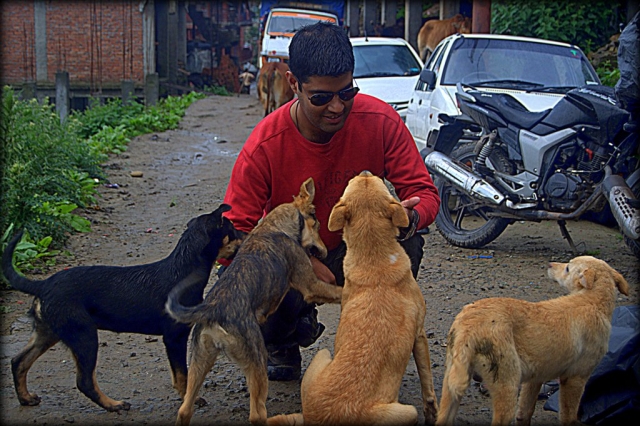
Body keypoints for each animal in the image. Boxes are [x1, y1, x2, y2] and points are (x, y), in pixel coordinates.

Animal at [1, 205, 242, 412]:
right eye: (232, 230)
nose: (245, 234)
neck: (184, 269)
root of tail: (42, 285)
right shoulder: (174, 337)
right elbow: (182, 375)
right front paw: (190, 400)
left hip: (49, 331)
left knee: (18, 362)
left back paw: (26, 398)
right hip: (83, 335)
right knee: (84, 381)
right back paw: (113, 404)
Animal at [168, 177, 342, 426]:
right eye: (317, 224)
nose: (325, 251)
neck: (274, 226)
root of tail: (213, 309)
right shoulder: (311, 285)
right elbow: (340, 290)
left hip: (199, 361)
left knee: (184, 409)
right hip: (257, 363)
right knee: (257, 414)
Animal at [268, 171, 438, 426]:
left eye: (367, 180)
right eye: (359, 181)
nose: (365, 172)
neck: (374, 257)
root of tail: (314, 417)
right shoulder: (419, 335)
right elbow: (427, 382)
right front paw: (433, 412)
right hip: (405, 410)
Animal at [436, 256, 632, 426]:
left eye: (567, 268)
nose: (550, 264)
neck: (592, 300)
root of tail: (468, 327)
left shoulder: (535, 379)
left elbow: (525, 413)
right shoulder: (575, 378)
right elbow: (567, 415)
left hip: (450, 389)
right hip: (507, 388)